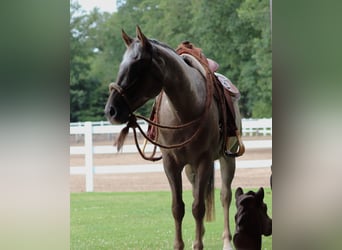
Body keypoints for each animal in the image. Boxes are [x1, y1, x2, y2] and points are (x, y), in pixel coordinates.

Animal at [104, 26, 243, 249]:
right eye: (121, 64)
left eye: (138, 64)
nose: (111, 111)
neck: (185, 110)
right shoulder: (171, 163)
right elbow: (178, 207)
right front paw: (181, 244)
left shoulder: (204, 161)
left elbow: (198, 207)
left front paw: (198, 245)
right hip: (190, 168)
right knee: (197, 193)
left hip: (227, 158)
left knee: (225, 196)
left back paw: (227, 241)